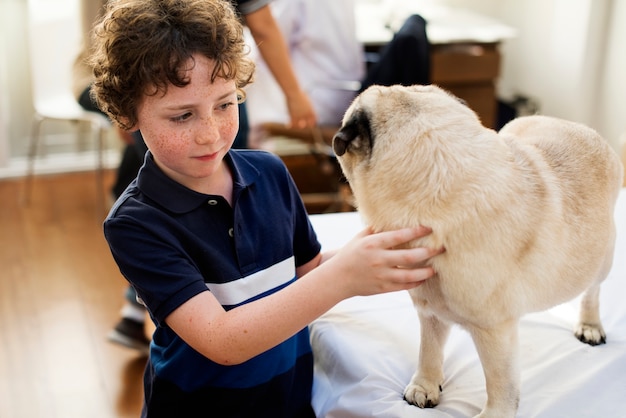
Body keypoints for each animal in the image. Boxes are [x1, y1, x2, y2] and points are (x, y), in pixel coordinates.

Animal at [332, 83, 620, 416]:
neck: (441, 186)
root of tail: (576, 126)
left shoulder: (494, 331)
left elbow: (501, 383)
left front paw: (496, 413)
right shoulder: (431, 310)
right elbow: (429, 350)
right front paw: (425, 385)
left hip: (602, 259)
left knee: (592, 291)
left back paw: (590, 324)